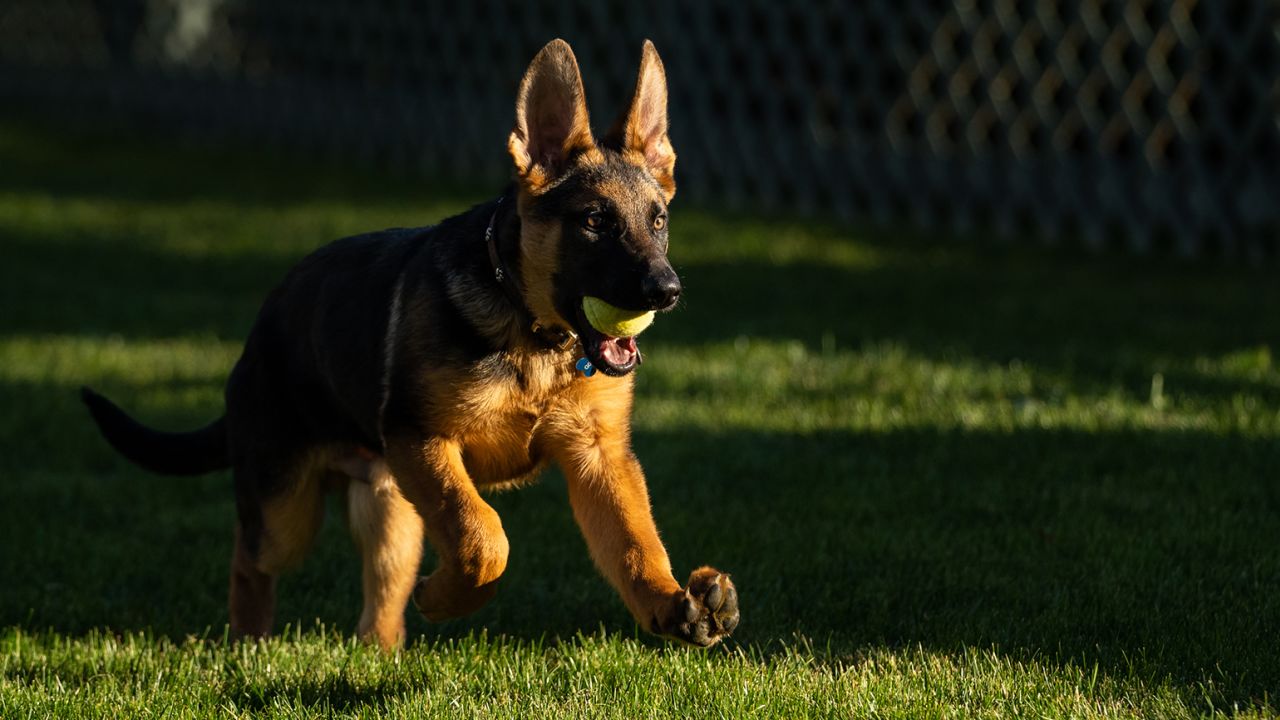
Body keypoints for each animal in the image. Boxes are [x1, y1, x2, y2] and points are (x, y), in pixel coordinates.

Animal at [80, 39, 742, 648]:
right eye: (595, 221)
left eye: (658, 220)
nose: (667, 290)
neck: (533, 335)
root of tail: (259, 331)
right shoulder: (423, 439)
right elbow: (484, 535)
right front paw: (447, 598)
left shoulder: (598, 457)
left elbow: (635, 543)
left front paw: (673, 603)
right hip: (287, 507)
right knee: (250, 557)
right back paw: (249, 641)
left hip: (390, 507)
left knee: (381, 595)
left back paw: (381, 652)